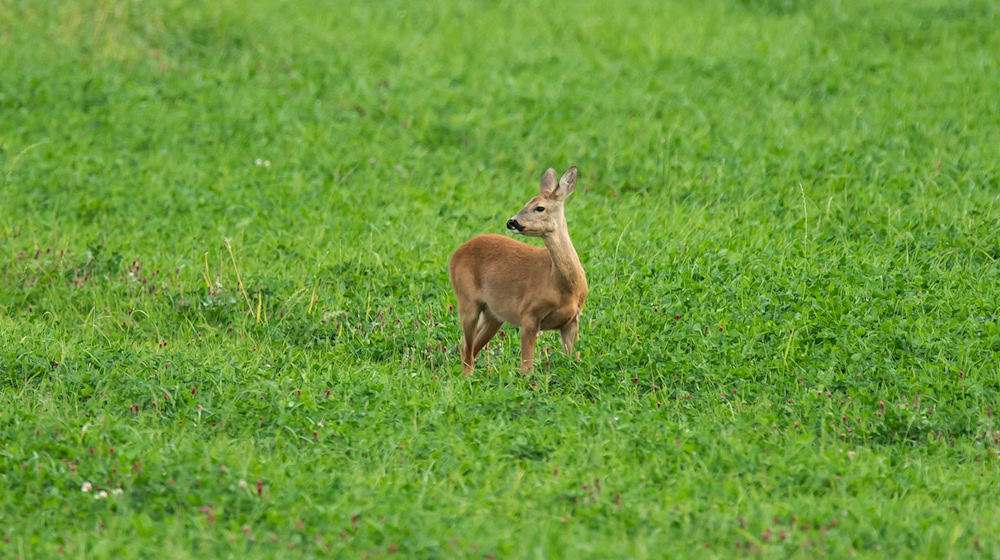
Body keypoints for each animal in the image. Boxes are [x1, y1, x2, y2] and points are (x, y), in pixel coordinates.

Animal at [448, 167, 584, 376]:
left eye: (539, 207)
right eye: (526, 202)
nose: (511, 222)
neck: (563, 286)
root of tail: (456, 254)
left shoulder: (572, 321)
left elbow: (572, 359)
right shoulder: (529, 313)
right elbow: (526, 367)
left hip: (493, 315)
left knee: (469, 348)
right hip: (467, 299)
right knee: (467, 351)